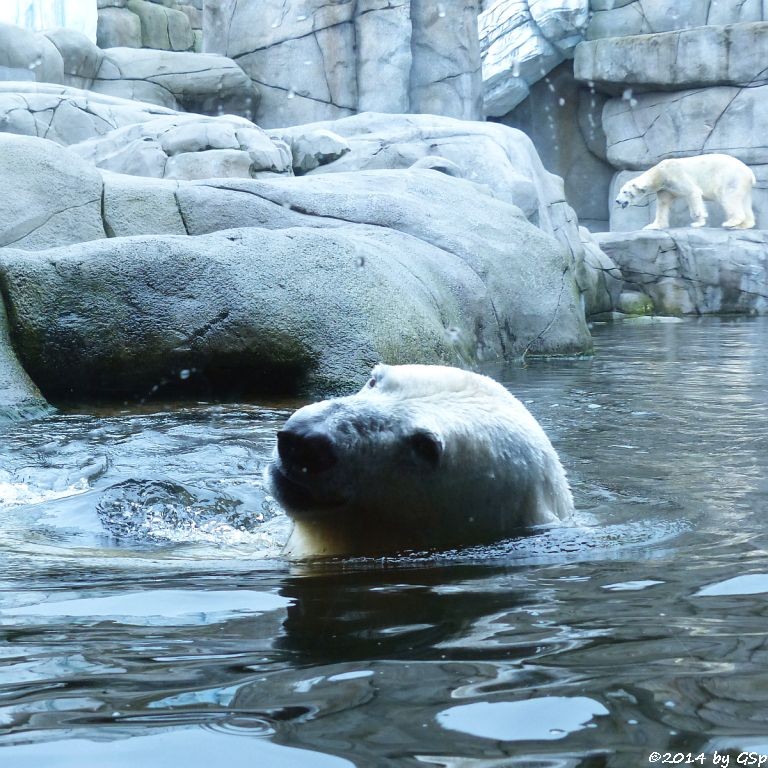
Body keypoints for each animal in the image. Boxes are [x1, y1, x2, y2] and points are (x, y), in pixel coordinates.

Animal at [612, 153, 756, 230]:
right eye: (621, 191)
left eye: (625, 192)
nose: (617, 200)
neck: (659, 173)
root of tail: (749, 172)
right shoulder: (665, 188)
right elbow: (662, 205)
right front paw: (653, 226)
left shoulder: (675, 175)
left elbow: (693, 192)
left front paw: (697, 223)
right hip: (743, 184)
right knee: (744, 201)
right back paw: (744, 225)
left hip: (730, 178)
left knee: (728, 197)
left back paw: (731, 222)